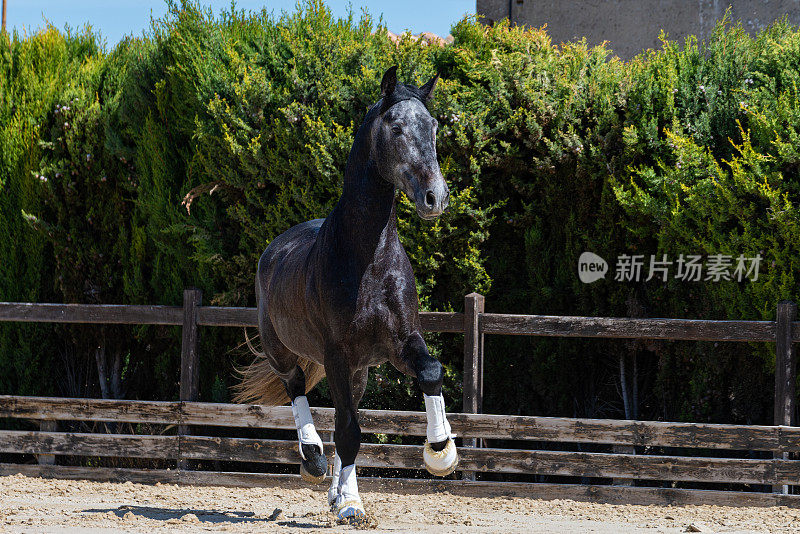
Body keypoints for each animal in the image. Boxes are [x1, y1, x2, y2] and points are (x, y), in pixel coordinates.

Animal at [233, 66, 456, 524]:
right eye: (397, 127)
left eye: (434, 127)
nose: (435, 198)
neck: (368, 259)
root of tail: (273, 249)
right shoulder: (336, 353)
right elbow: (349, 429)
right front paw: (352, 504)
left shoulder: (400, 344)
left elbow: (430, 371)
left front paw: (440, 452)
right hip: (282, 352)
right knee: (297, 389)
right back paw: (313, 462)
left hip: (359, 371)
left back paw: (333, 489)